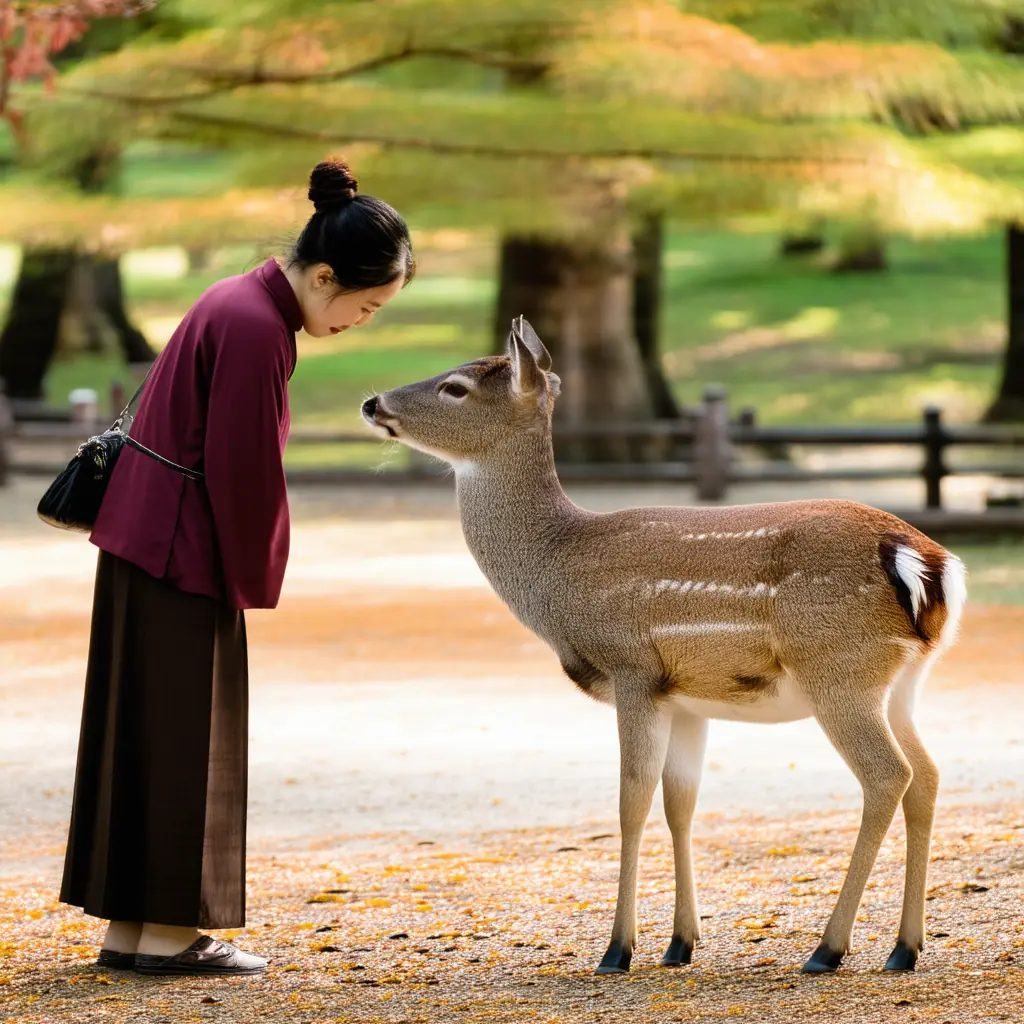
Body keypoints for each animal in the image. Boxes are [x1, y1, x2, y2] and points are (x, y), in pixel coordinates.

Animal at [360, 316, 967, 977]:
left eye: (455, 387)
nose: (373, 403)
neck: (558, 569)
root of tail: (928, 564)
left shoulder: (632, 668)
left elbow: (632, 800)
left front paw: (617, 949)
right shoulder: (687, 698)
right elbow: (681, 802)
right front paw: (680, 943)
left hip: (837, 668)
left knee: (888, 775)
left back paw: (828, 949)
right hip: (904, 679)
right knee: (928, 775)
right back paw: (904, 948)